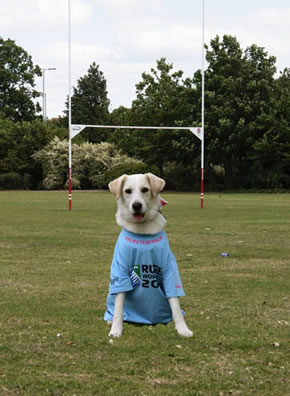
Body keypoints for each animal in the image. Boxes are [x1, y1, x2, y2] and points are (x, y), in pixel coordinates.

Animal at [104, 172, 193, 338]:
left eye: (145, 189)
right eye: (127, 191)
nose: (136, 205)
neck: (142, 230)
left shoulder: (169, 269)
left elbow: (175, 305)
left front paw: (183, 329)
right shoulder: (121, 269)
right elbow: (119, 306)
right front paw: (116, 330)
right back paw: (110, 320)